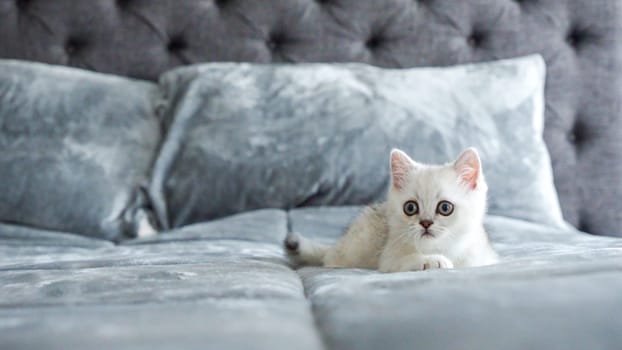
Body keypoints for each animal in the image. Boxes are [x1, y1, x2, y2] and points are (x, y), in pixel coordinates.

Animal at [286, 146, 500, 272]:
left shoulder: (481, 258)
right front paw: (432, 261)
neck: (441, 247)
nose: (425, 223)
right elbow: (405, 261)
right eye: (410, 208)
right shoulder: (389, 258)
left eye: (445, 207)